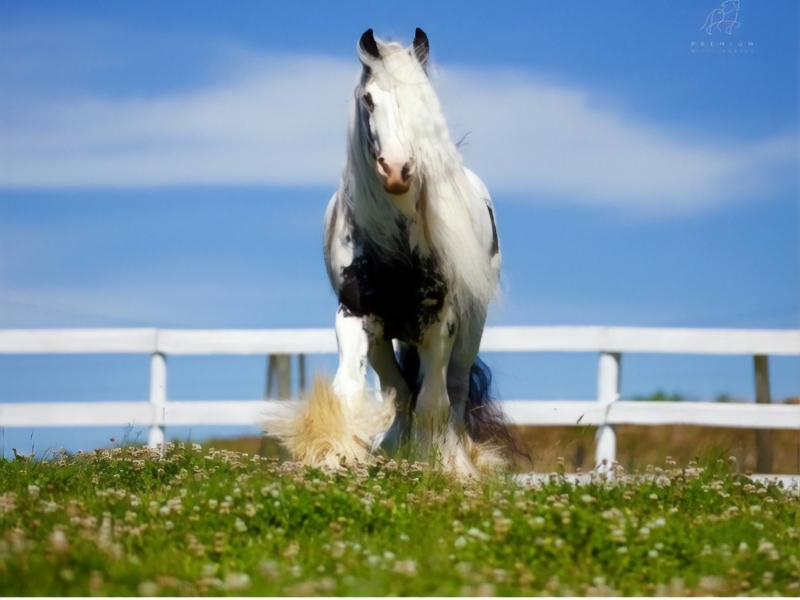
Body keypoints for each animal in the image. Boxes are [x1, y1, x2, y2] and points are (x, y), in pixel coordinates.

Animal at [266, 28, 513, 477]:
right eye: (369, 98)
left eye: (422, 99)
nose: (397, 169)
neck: (397, 247)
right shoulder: (355, 315)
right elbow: (351, 392)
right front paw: (337, 458)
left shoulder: (440, 324)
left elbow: (434, 403)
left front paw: (439, 468)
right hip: (385, 339)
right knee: (398, 390)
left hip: (471, 329)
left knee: (454, 391)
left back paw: (459, 465)